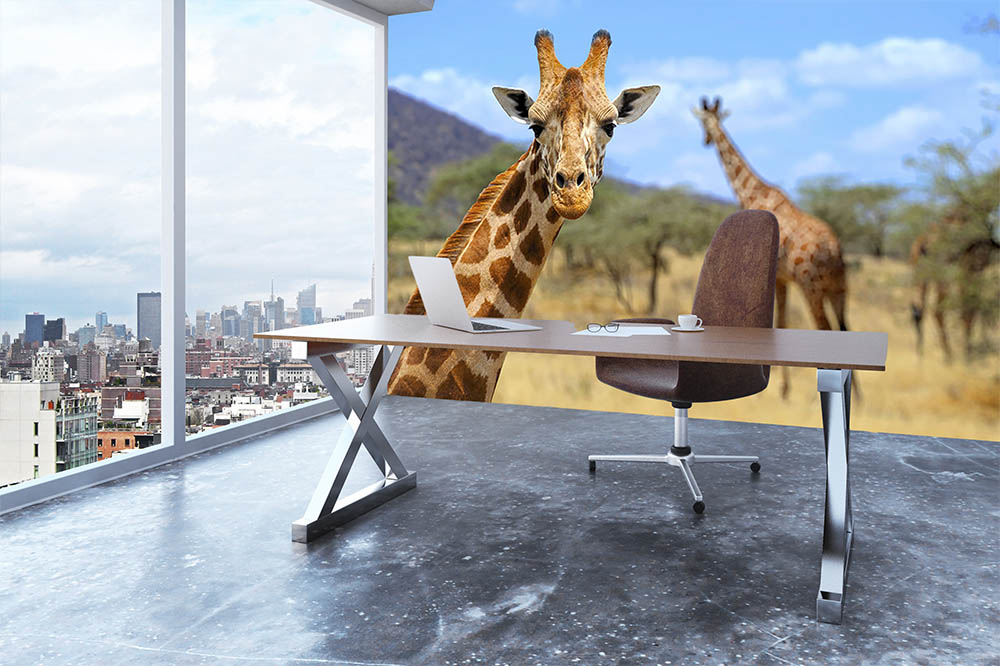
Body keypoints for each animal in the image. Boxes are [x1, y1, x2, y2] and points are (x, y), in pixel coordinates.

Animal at [692, 97, 850, 398]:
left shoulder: (776, 277)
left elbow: (776, 324)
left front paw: (780, 388)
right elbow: (782, 322)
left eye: (703, 121)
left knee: (825, 329)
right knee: (844, 329)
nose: (704, 140)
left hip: (812, 287)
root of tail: (834, 251)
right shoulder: (783, 279)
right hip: (838, 289)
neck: (753, 193)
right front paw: (781, 387)